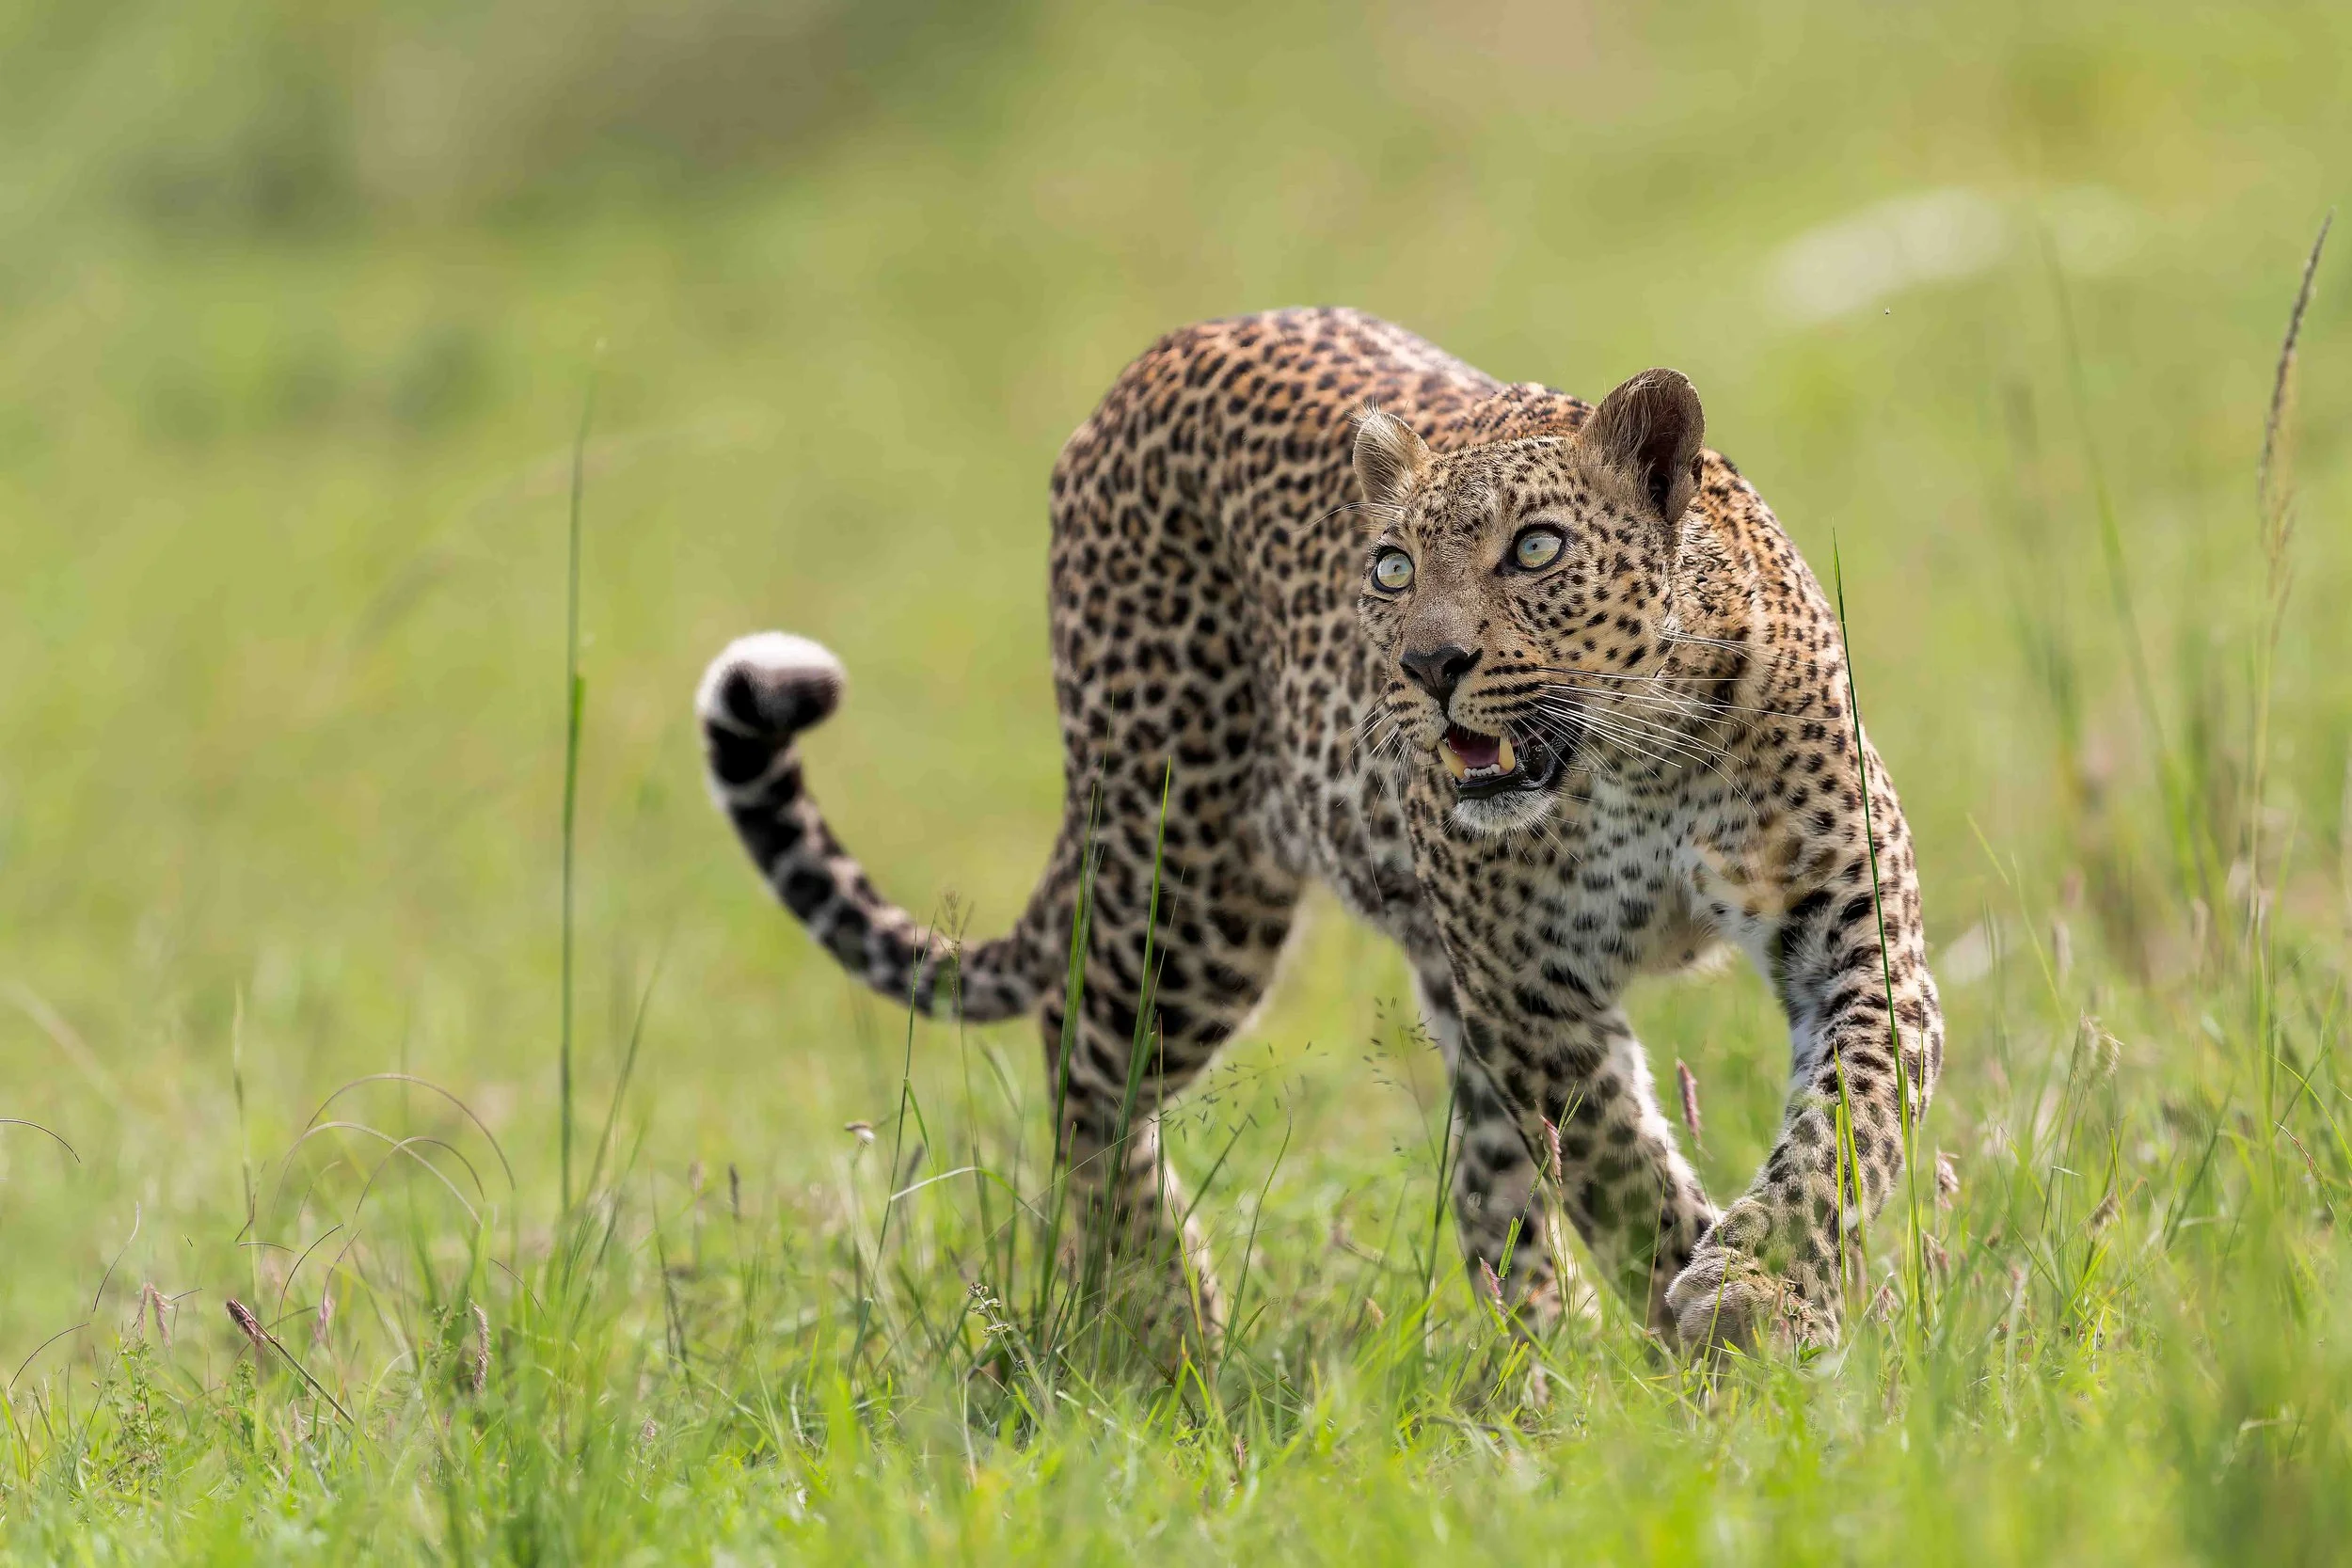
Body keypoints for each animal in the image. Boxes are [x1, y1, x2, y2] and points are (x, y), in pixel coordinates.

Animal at [695, 307, 1943, 1354]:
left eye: (1534, 549)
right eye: (1389, 568)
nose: (1428, 663)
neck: (1639, 755)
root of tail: (1154, 359)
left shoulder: (1851, 926)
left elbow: (1850, 1114)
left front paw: (1759, 1293)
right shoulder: (1532, 995)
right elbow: (1622, 1170)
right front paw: (1721, 1332)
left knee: (1488, 1188)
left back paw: (1537, 1370)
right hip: (1186, 878)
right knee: (1082, 1058)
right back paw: (1162, 1309)